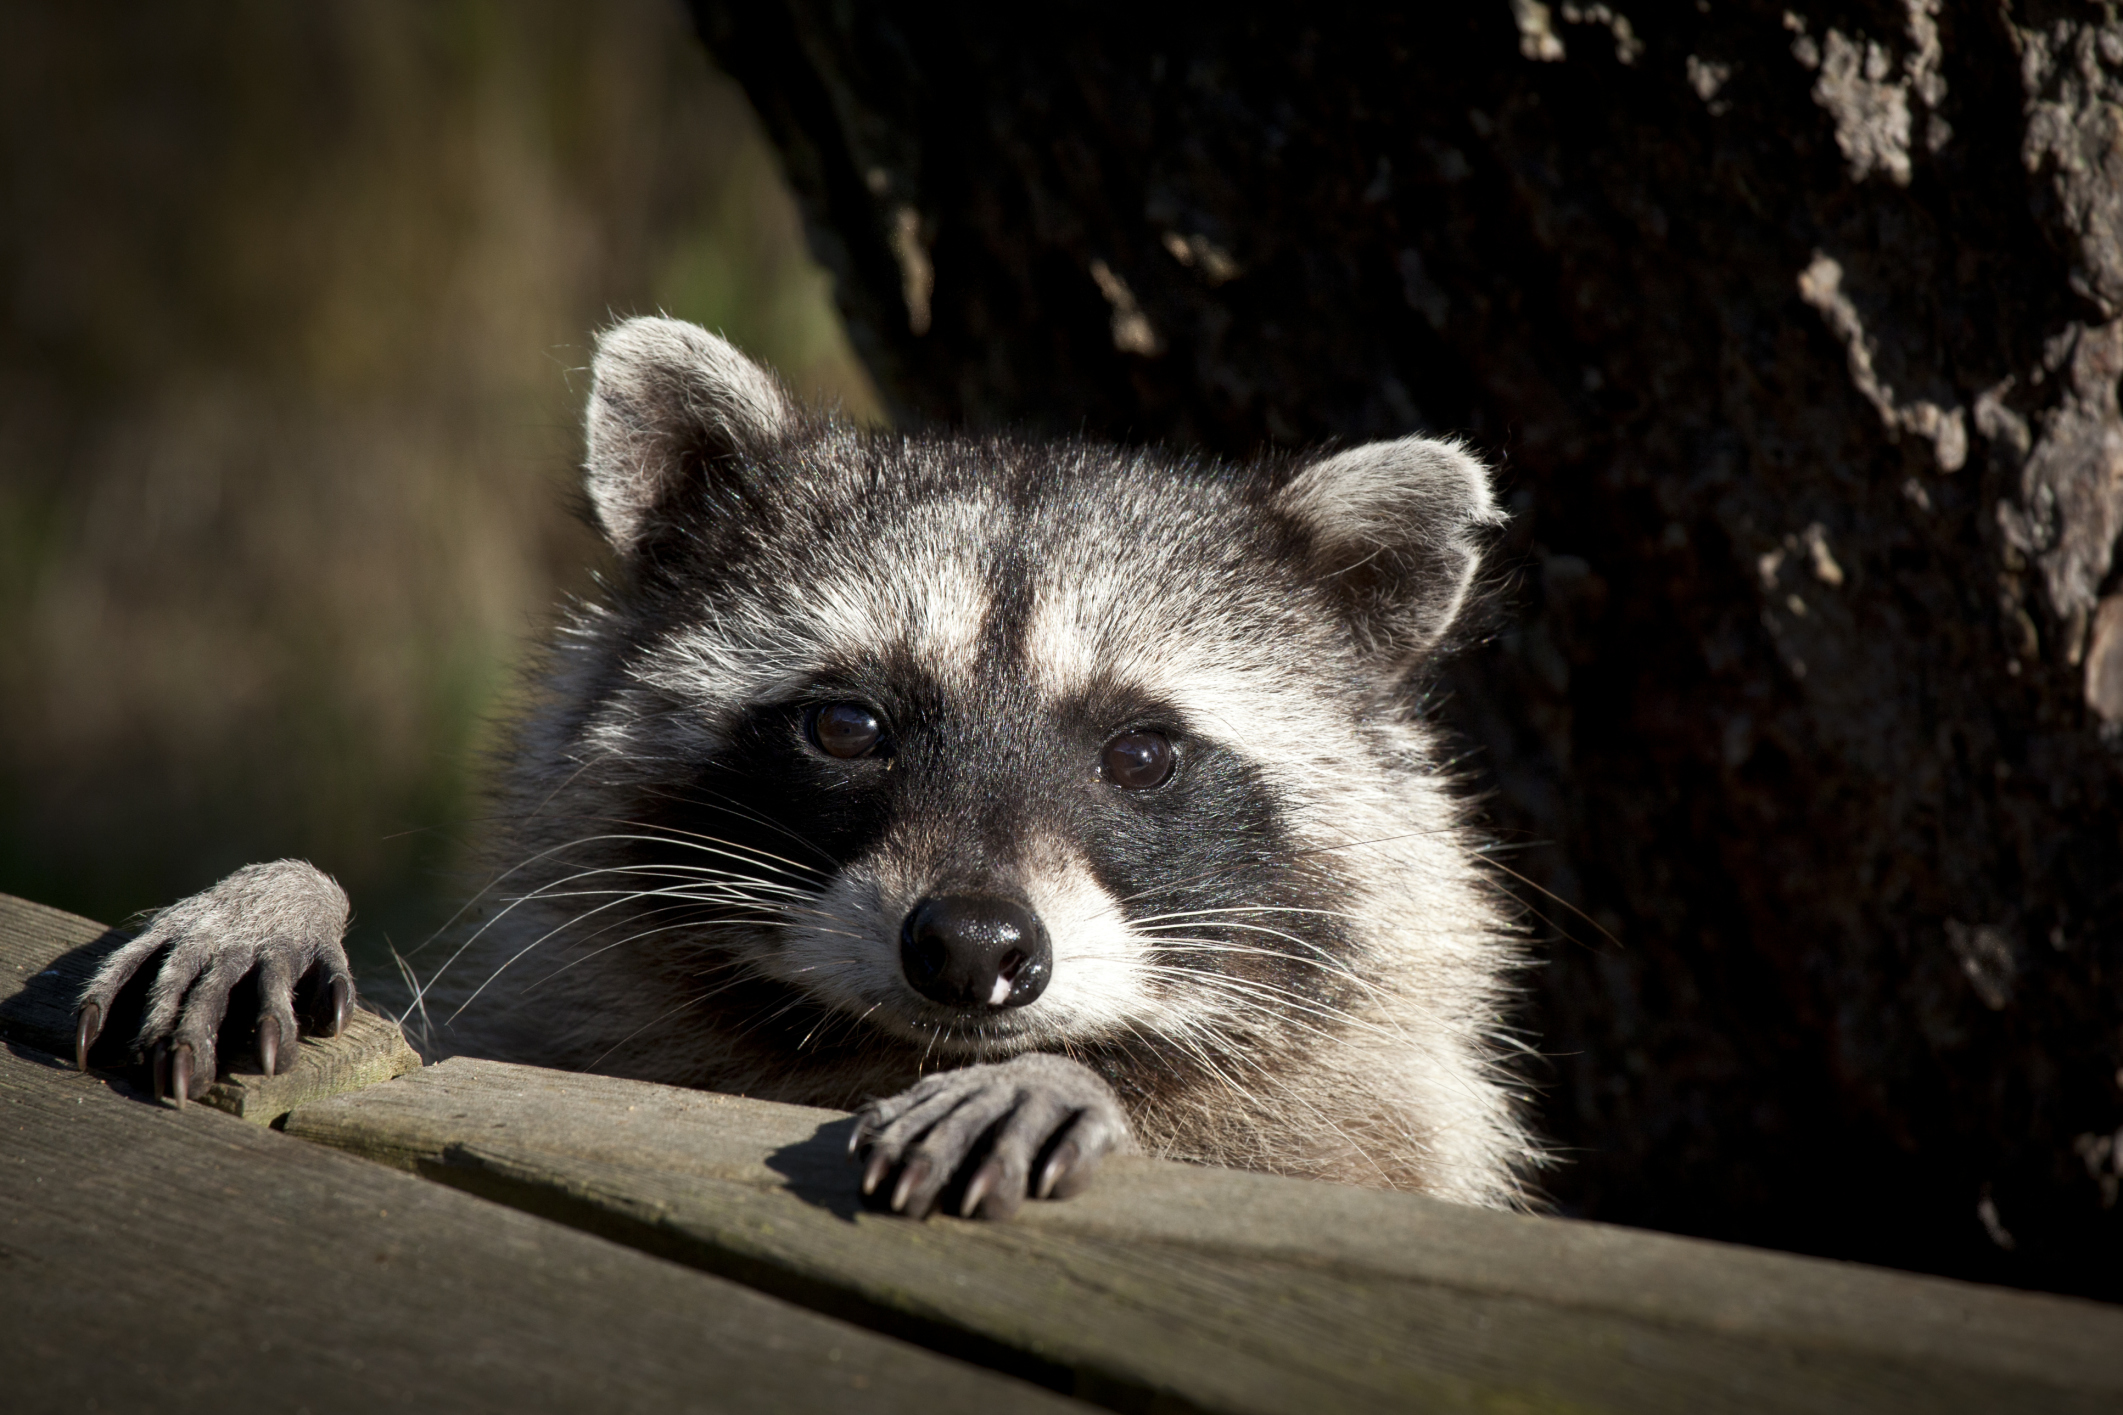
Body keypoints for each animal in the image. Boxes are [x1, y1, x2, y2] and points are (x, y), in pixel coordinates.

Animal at [76, 316, 1538, 1218]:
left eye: (1140, 751)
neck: (868, 1049)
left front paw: (1075, 1076)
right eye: (847, 726)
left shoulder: (1373, 1127)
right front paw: (284, 891)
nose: (971, 946)